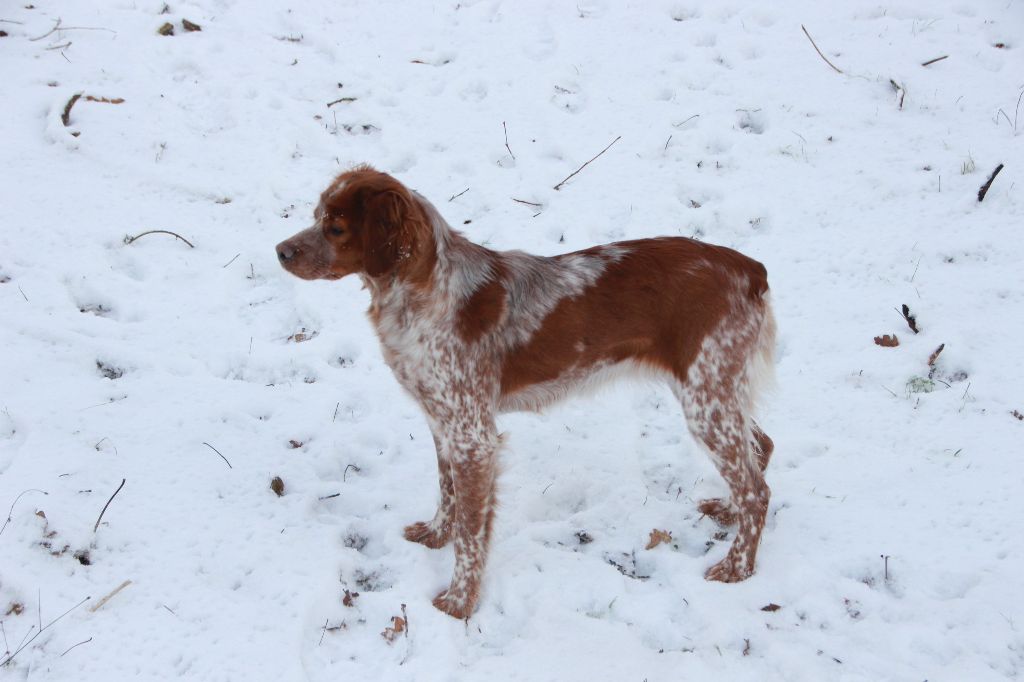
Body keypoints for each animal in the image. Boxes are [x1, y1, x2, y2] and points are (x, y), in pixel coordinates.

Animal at [276, 164, 770, 614]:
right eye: (316, 215)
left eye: (336, 228)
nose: (280, 250)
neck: (421, 296)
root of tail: (750, 268)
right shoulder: (442, 421)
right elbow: (447, 494)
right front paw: (435, 536)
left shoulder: (473, 436)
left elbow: (471, 531)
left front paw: (459, 603)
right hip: (719, 393)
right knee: (760, 449)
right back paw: (728, 512)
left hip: (706, 400)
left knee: (757, 490)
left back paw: (737, 568)